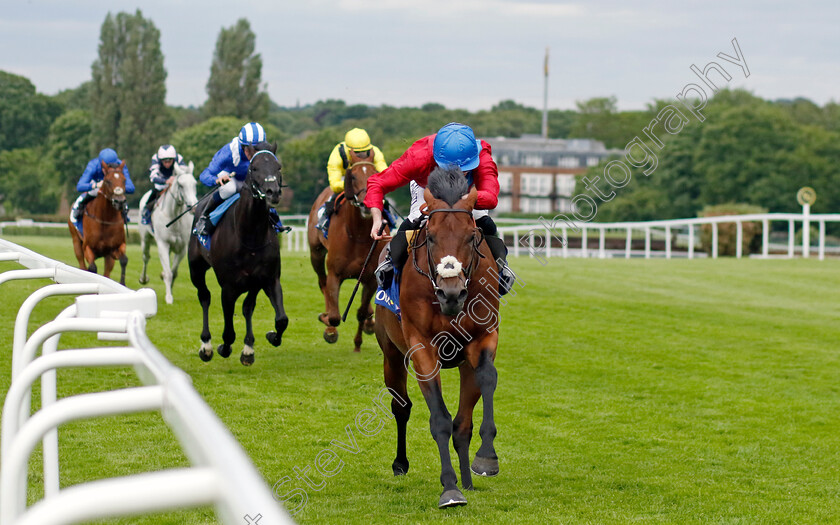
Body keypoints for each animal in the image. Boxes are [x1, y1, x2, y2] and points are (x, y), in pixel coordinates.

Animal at [187, 143, 288, 364]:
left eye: (278, 167)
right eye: (254, 168)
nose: (273, 192)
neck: (250, 236)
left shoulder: (268, 278)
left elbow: (281, 319)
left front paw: (271, 337)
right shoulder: (228, 286)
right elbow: (228, 332)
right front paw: (222, 348)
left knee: (248, 307)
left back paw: (248, 346)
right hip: (196, 268)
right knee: (204, 296)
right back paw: (206, 345)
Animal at [306, 149, 388, 350]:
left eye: (374, 174)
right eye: (353, 176)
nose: (367, 204)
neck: (358, 235)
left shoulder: (370, 278)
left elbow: (361, 311)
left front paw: (358, 342)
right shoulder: (335, 273)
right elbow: (335, 316)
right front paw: (327, 322)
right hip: (316, 253)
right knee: (322, 283)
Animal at [378, 167, 502, 508]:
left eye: (471, 235)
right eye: (431, 236)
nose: (451, 293)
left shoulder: (483, 337)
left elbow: (486, 379)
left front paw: (486, 459)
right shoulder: (422, 348)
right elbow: (440, 420)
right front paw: (449, 488)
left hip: (463, 363)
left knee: (463, 423)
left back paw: (469, 478)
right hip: (391, 353)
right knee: (401, 406)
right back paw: (400, 463)